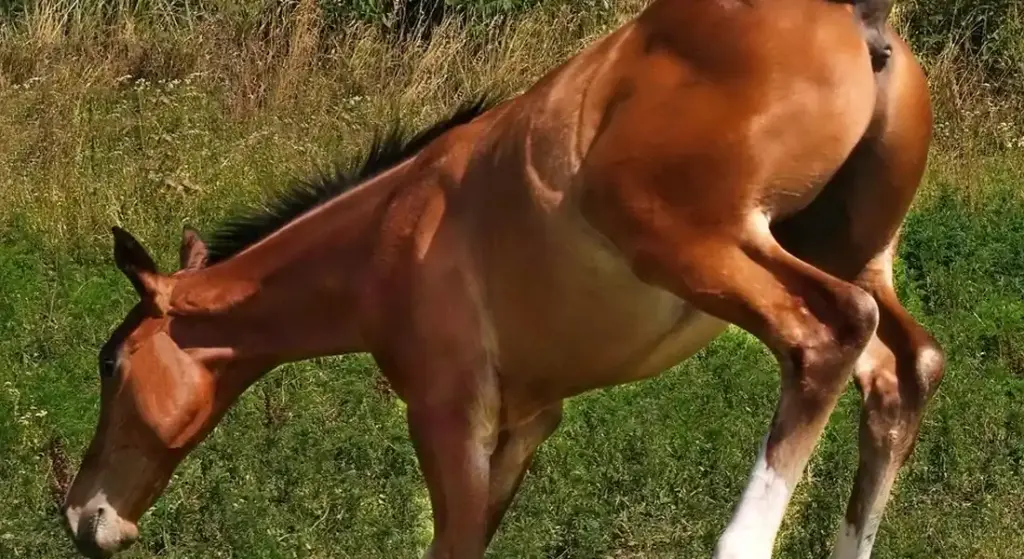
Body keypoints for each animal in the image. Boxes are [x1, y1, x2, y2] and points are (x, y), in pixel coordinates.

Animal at [61, 0, 943, 557]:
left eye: (109, 363)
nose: (83, 514)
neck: (393, 230)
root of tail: (862, 26)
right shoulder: (525, 424)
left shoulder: (449, 413)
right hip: (850, 253)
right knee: (904, 369)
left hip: (710, 252)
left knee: (828, 331)